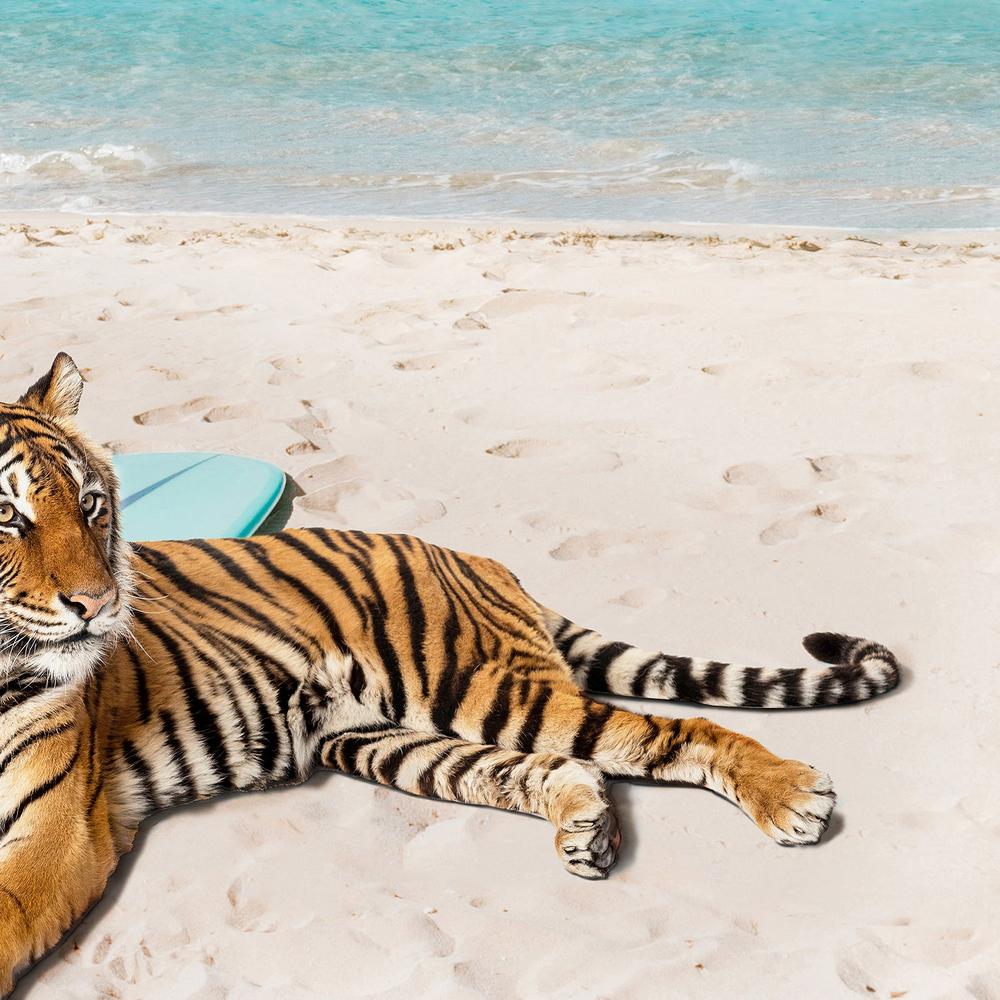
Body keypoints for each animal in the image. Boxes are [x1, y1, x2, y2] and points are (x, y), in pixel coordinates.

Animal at [0, 353, 900, 995]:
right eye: (9, 516)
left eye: (91, 504)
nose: (100, 603)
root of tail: (476, 557)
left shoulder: (56, 829)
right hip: (384, 739)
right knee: (549, 769)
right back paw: (586, 827)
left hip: (479, 684)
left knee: (672, 730)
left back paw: (789, 796)